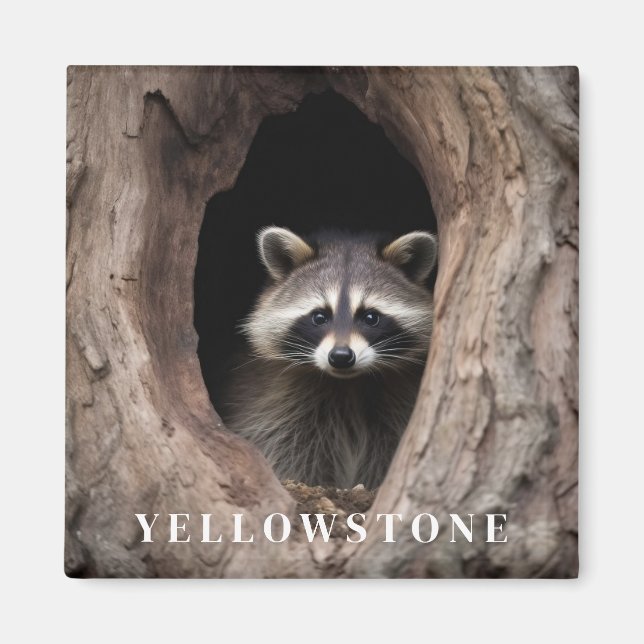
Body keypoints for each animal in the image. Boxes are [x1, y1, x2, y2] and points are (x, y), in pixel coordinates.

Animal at [221, 226, 438, 489]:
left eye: (371, 317)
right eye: (319, 317)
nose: (341, 356)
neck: (350, 384)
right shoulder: (275, 399)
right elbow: (286, 445)